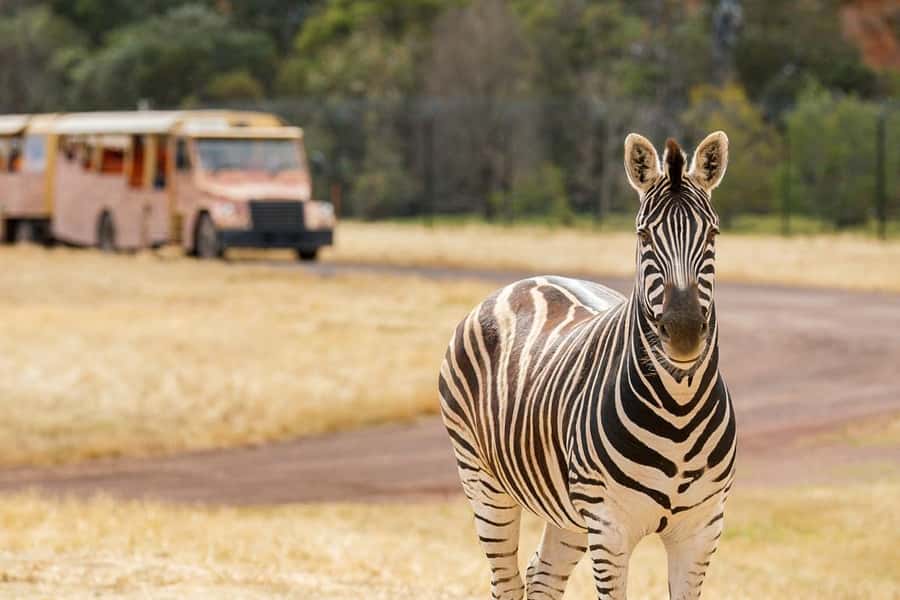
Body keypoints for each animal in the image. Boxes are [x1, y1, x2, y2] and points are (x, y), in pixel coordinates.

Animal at [438, 131, 735, 600]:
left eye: (712, 232)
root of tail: (526, 281)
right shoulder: (610, 527)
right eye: (643, 235)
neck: (680, 408)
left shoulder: (701, 529)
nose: (684, 332)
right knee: (506, 581)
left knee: (541, 577)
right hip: (482, 482)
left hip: (568, 513)